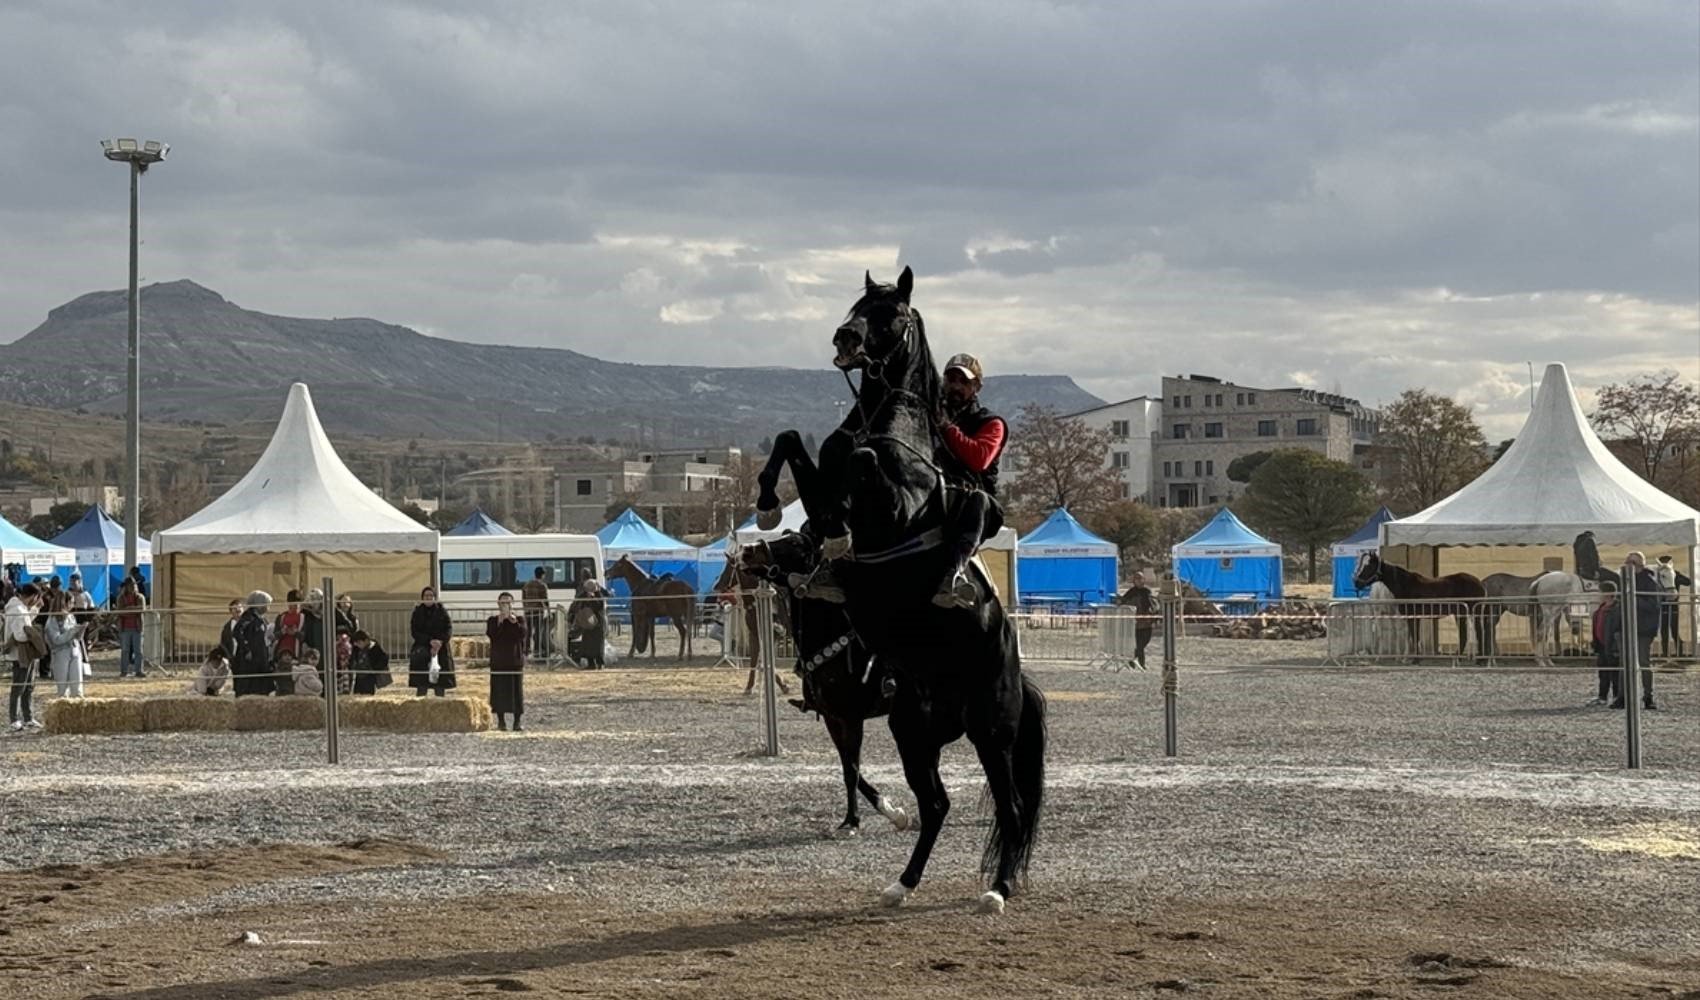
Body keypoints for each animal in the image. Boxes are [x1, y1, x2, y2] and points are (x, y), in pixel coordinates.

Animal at [748, 267, 1040, 911]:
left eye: (892, 314)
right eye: (856, 304)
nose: (844, 338)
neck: (892, 425)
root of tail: (1015, 669)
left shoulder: (892, 500)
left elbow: (859, 459)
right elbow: (795, 441)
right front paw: (768, 503)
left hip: (991, 731)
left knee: (1009, 807)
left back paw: (999, 889)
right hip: (915, 731)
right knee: (936, 805)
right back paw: (901, 884)